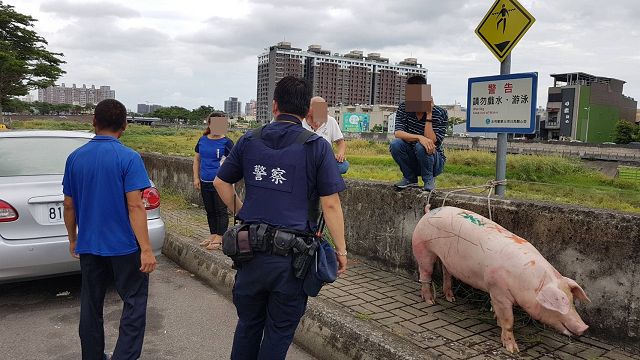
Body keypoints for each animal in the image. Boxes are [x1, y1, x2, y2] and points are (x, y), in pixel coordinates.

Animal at [416, 207, 592, 352]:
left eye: (572, 301)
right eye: (562, 302)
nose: (585, 327)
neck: (528, 283)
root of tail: (429, 212)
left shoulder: (494, 291)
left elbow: (498, 312)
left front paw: (497, 322)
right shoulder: (499, 290)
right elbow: (509, 320)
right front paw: (513, 350)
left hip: (445, 260)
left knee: (447, 274)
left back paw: (451, 299)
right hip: (423, 247)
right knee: (425, 274)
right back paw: (430, 301)